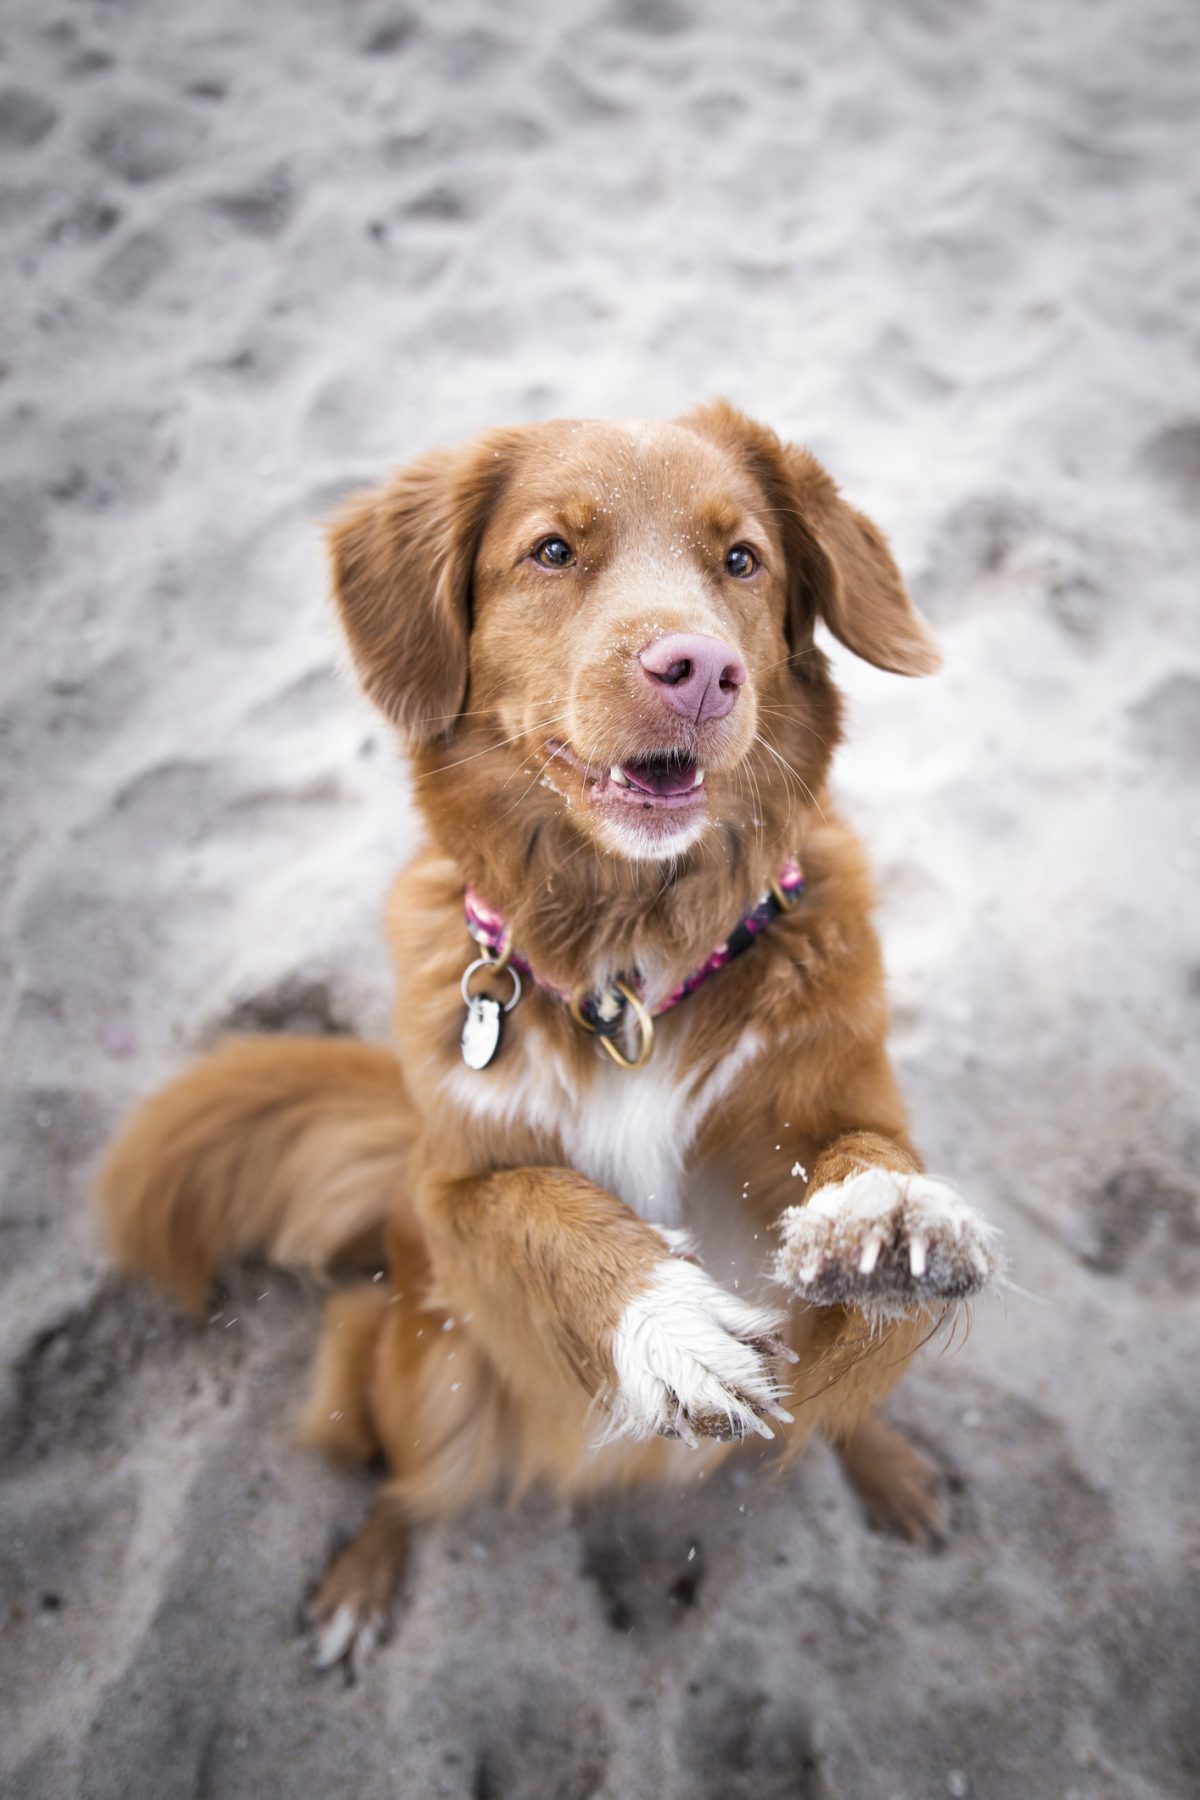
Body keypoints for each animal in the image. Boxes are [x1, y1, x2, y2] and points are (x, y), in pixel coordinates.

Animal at [100, 405, 1007, 1670]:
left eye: (742, 558)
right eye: (552, 552)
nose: (701, 670)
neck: (628, 970)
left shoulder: (832, 1107)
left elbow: (862, 1160)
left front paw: (886, 1219)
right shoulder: (454, 1189)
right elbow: (547, 1210)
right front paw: (669, 1326)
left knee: (831, 1407)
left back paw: (892, 1466)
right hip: (433, 1370)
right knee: (406, 1484)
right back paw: (361, 1585)